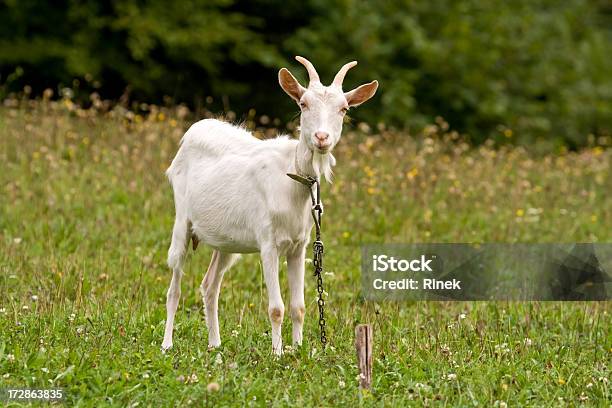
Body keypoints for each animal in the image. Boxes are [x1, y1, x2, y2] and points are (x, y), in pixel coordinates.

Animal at [163, 55, 378, 354]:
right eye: (303, 104)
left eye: (344, 108)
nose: (322, 138)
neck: (293, 179)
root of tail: (194, 130)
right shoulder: (268, 244)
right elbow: (276, 308)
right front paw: (277, 354)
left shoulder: (300, 247)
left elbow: (299, 306)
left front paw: (298, 350)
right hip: (182, 220)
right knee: (175, 286)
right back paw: (167, 344)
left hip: (226, 242)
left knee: (209, 285)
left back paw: (215, 345)